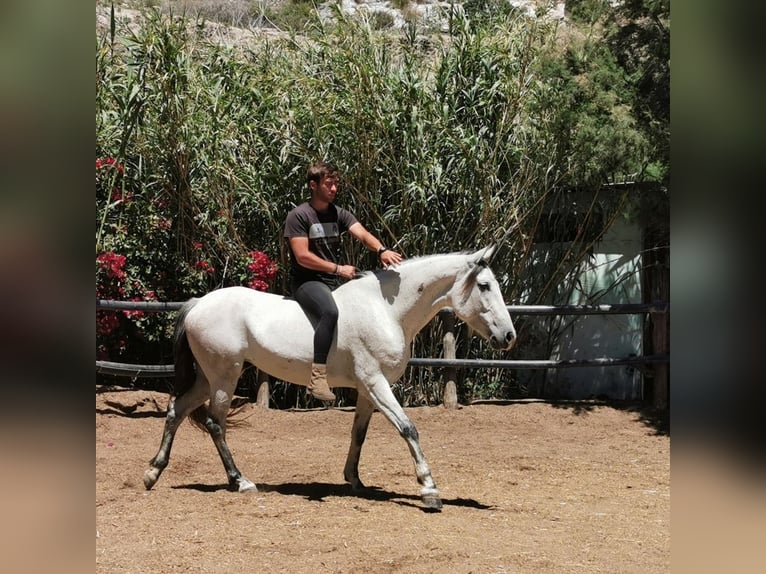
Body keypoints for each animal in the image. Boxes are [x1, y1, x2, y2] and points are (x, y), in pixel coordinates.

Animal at [142, 245, 516, 510]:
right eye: (484, 286)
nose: (509, 336)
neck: (387, 310)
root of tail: (198, 303)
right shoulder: (376, 383)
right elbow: (408, 428)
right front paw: (429, 489)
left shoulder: (367, 389)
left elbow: (359, 434)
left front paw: (355, 480)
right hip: (224, 376)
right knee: (215, 424)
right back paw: (240, 481)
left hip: (208, 378)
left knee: (176, 411)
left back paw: (152, 473)